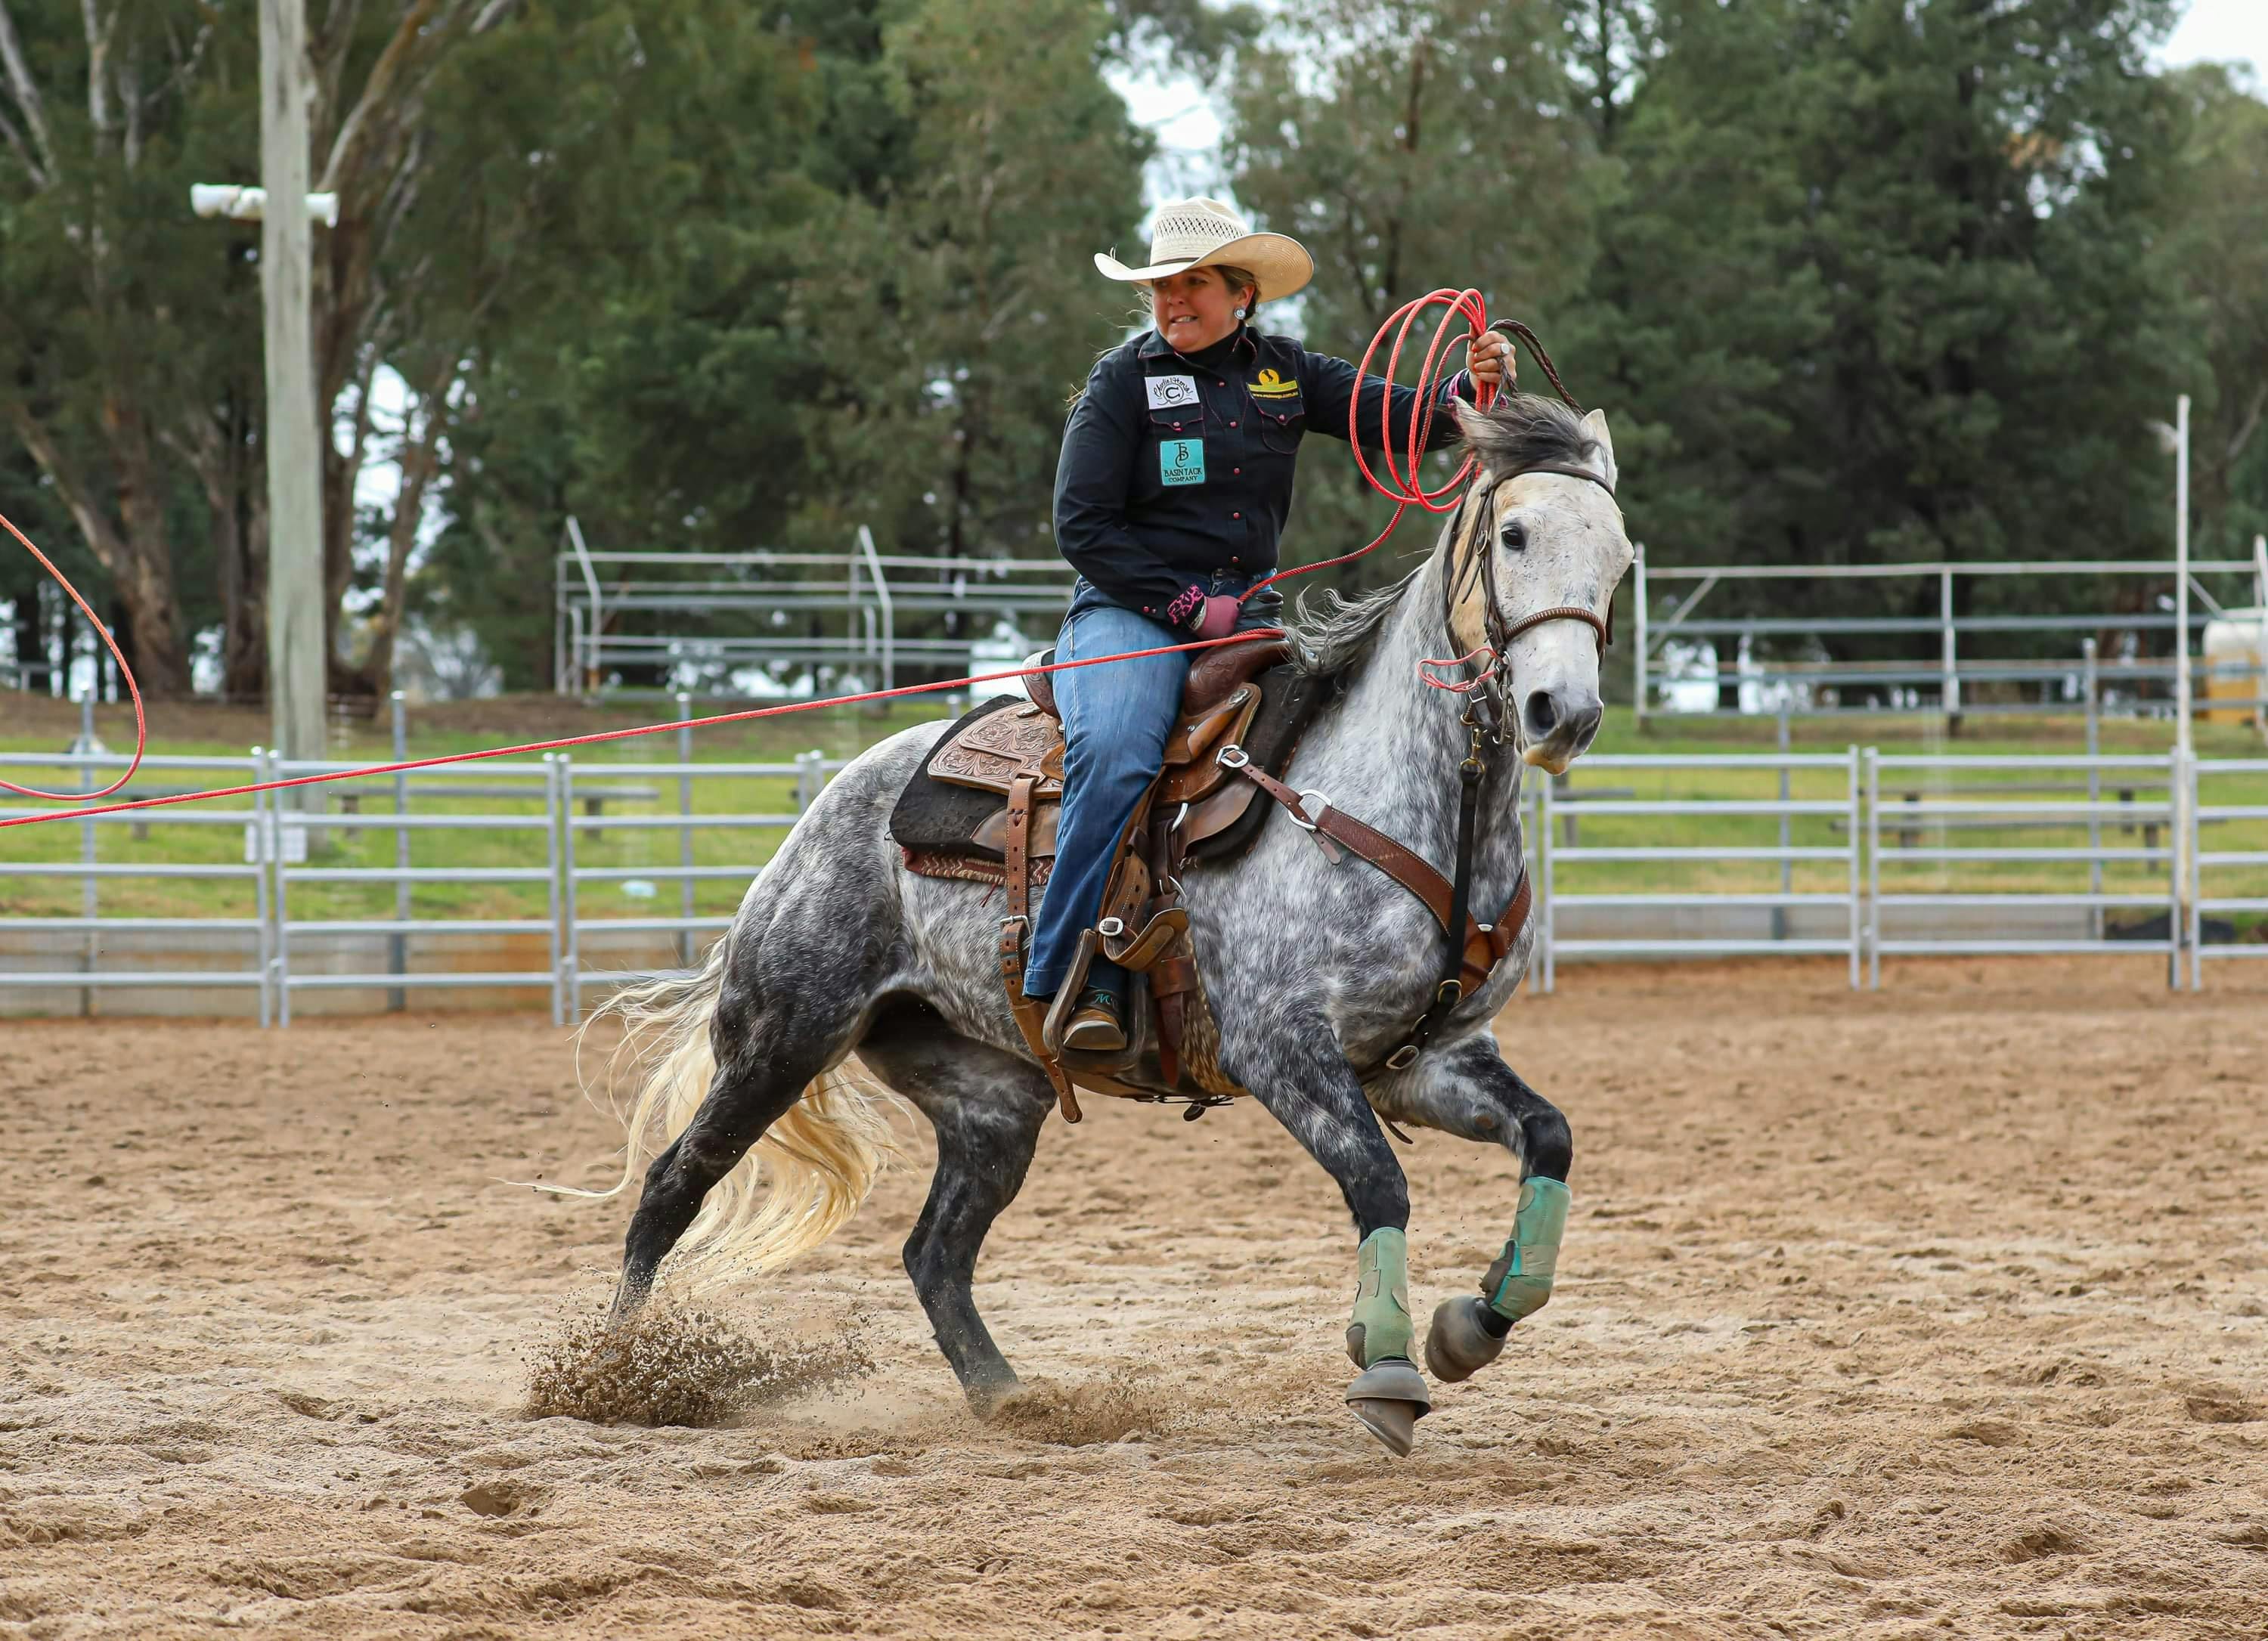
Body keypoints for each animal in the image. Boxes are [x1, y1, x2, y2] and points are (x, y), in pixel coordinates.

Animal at [574, 390, 1633, 1457]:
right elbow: (1379, 1182)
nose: (1563, 711)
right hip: (782, 1034)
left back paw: (1011, 1398)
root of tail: (829, 807)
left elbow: (1550, 1137)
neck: (1385, 800)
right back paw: (609, 1372)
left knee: (933, 1251)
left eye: (1622, 552)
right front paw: (1386, 1366)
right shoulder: (1281, 1048)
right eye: (1514, 533)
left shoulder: (1429, 1057)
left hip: (991, 1100)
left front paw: (1474, 1322)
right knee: (673, 1184)